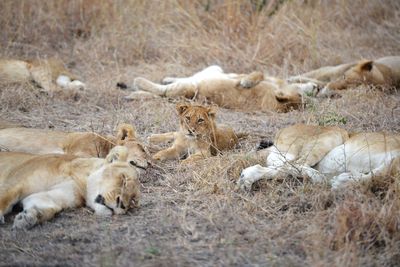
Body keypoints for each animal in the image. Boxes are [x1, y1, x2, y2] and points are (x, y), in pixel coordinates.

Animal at [0, 147, 141, 230]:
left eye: (132, 202)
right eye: (123, 180)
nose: (122, 204)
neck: (82, 181)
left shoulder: (58, 194)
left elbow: (49, 207)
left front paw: (28, 217)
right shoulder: (16, 183)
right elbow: (5, 198)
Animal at [236, 124, 400, 192]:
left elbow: (380, 174)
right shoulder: (394, 157)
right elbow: (382, 173)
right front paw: (342, 182)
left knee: (280, 167)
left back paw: (247, 178)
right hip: (332, 136)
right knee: (295, 164)